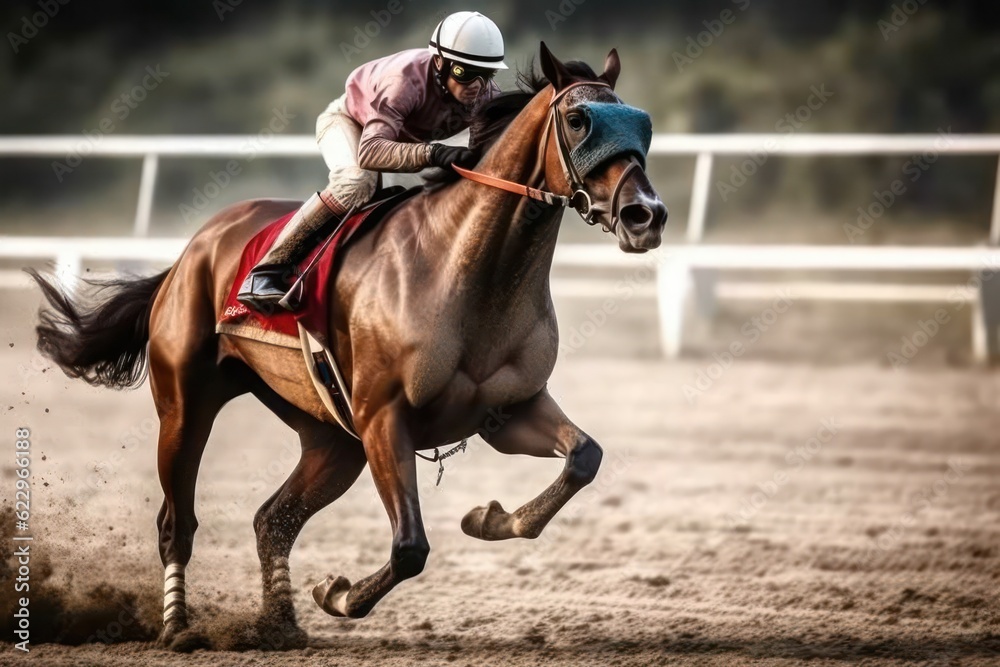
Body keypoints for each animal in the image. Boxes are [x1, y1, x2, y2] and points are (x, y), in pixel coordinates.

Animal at [29, 41, 667, 651]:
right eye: (580, 120)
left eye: (643, 124)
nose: (647, 216)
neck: (470, 270)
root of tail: (192, 251)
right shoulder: (384, 416)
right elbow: (410, 547)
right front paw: (337, 595)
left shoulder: (507, 410)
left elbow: (584, 457)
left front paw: (490, 518)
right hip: (186, 404)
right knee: (176, 521)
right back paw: (178, 627)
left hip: (332, 437)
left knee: (272, 520)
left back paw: (277, 628)